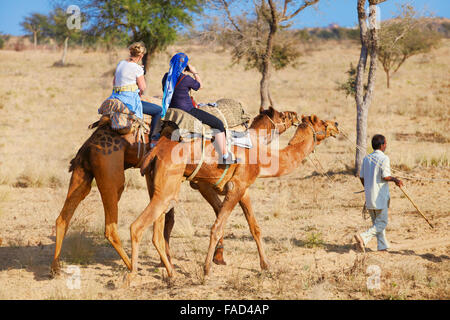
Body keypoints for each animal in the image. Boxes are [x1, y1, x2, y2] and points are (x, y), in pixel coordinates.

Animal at [49, 105, 298, 276]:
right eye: (283, 116)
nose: (296, 115)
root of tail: (90, 143)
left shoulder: (232, 187)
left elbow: (252, 226)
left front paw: (261, 264)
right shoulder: (221, 185)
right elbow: (218, 220)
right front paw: (213, 262)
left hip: (82, 175)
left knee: (63, 218)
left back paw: (55, 268)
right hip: (114, 178)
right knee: (113, 226)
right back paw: (133, 268)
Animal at [130, 114, 338, 278]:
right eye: (322, 123)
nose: (336, 124)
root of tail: (155, 151)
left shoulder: (244, 189)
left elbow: (255, 227)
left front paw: (265, 265)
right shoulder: (234, 187)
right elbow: (217, 227)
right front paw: (207, 269)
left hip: (158, 187)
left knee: (156, 232)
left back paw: (171, 273)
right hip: (166, 189)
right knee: (137, 226)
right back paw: (132, 276)